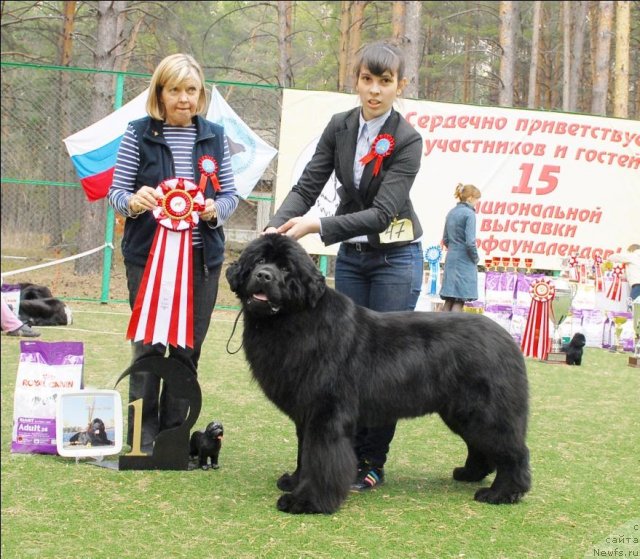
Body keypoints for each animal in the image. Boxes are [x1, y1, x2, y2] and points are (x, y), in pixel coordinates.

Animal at [225, 234, 528, 516]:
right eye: (258, 261)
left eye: (286, 268)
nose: (263, 275)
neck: (293, 321)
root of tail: (507, 338)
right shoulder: (305, 413)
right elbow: (304, 452)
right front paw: (295, 480)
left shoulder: (327, 413)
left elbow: (321, 457)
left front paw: (307, 500)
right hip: (460, 412)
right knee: (481, 446)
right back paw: (469, 474)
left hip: (485, 412)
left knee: (513, 450)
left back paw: (502, 492)